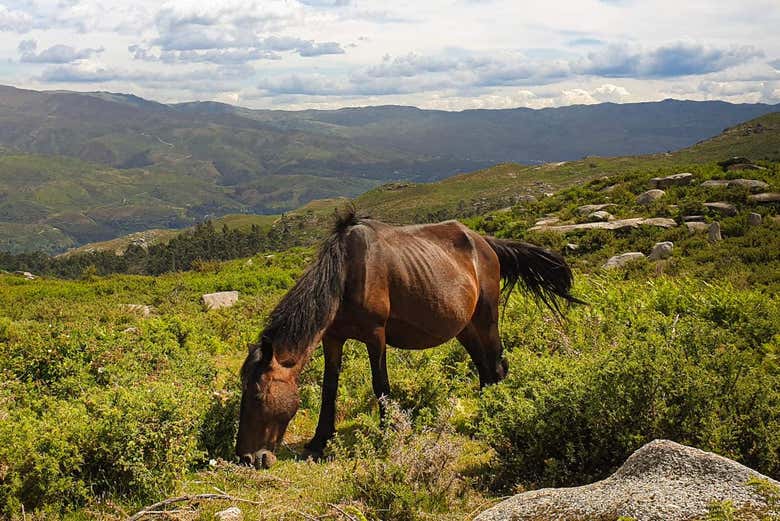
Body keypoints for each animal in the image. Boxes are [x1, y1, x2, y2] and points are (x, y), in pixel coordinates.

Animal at [235, 209, 580, 470]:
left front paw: (388, 435)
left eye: (257, 396)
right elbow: (329, 388)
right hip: (464, 327)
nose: (247, 458)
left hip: (486, 318)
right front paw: (320, 441)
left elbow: (381, 386)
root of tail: (486, 243)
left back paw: (492, 414)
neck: (346, 274)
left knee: (495, 365)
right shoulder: (332, 338)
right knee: (484, 367)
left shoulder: (376, 335)